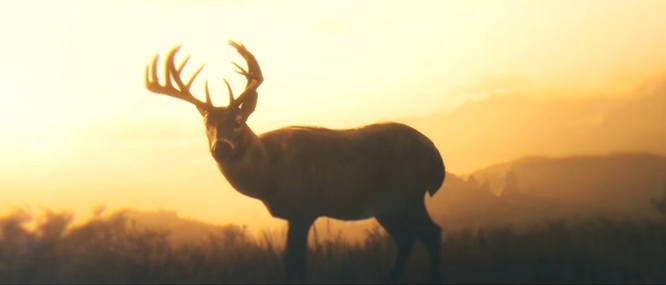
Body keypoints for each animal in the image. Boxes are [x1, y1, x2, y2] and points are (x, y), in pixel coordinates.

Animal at [145, 40, 446, 282]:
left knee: (430, 232)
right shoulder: (294, 214)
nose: (221, 148)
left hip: (407, 193)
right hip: (388, 205)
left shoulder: (304, 208)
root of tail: (434, 154)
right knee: (409, 238)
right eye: (207, 124)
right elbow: (291, 261)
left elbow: (296, 264)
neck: (270, 171)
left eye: (239, 121)